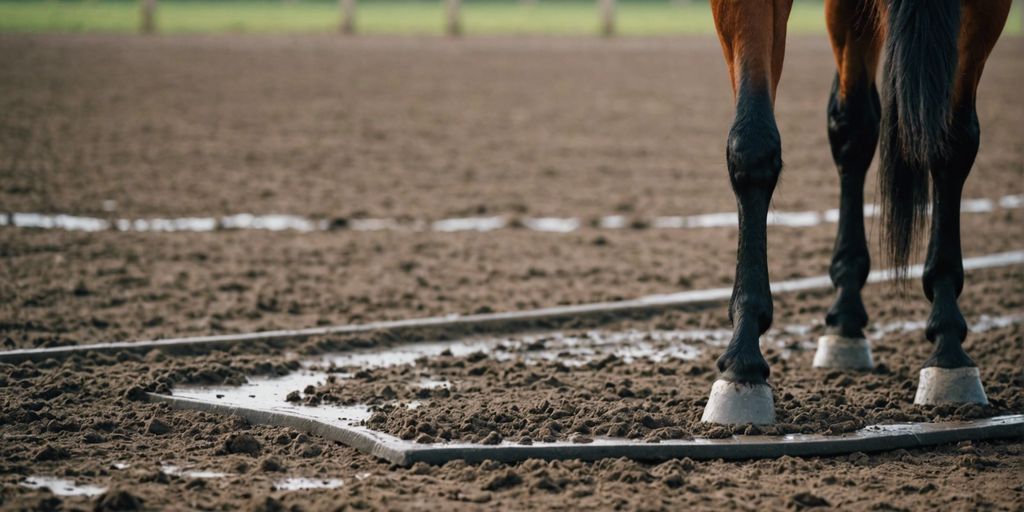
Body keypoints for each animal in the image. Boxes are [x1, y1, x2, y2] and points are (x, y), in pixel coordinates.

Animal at [700, 0, 1013, 425]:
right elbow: (752, 145)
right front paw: (743, 358)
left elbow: (953, 142)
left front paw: (948, 347)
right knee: (854, 126)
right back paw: (845, 315)